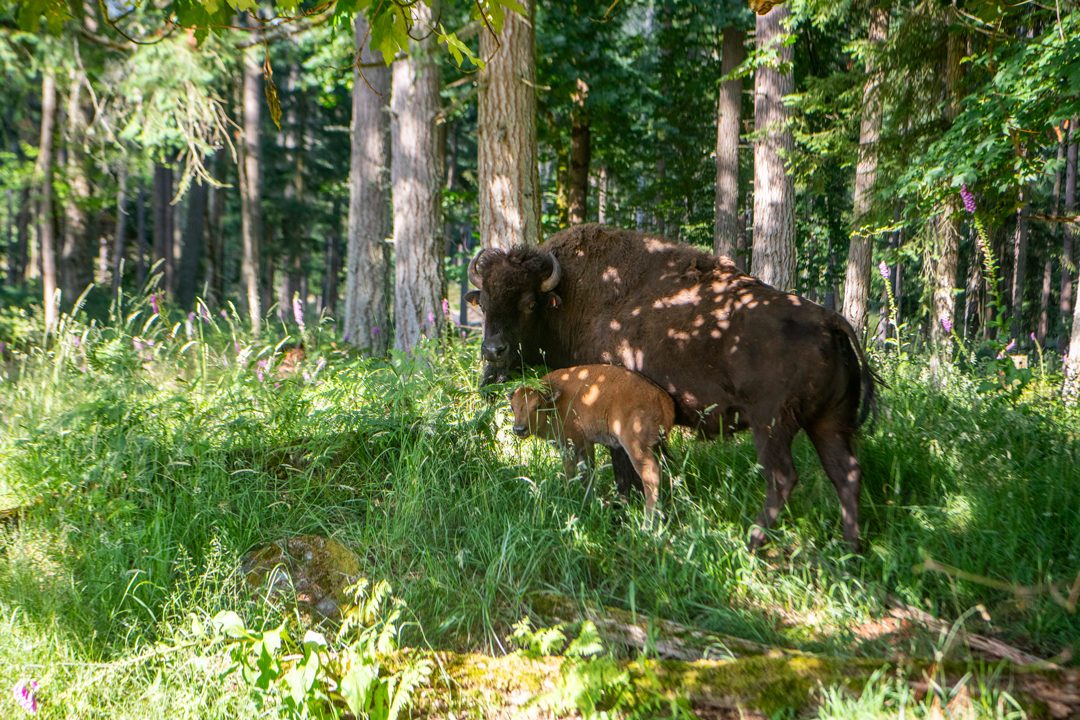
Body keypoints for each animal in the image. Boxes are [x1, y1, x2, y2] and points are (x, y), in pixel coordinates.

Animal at [509, 364, 676, 518]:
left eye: (537, 406)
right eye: (512, 407)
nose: (519, 429)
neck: (554, 405)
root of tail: (663, 400)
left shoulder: (570, 446)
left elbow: (569, 475)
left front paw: (564, 498)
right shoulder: (586, 445)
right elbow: (587, 474)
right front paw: (587, 502)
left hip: (637, 448)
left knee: (651, 477)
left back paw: (647, 522)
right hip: (654, 446)